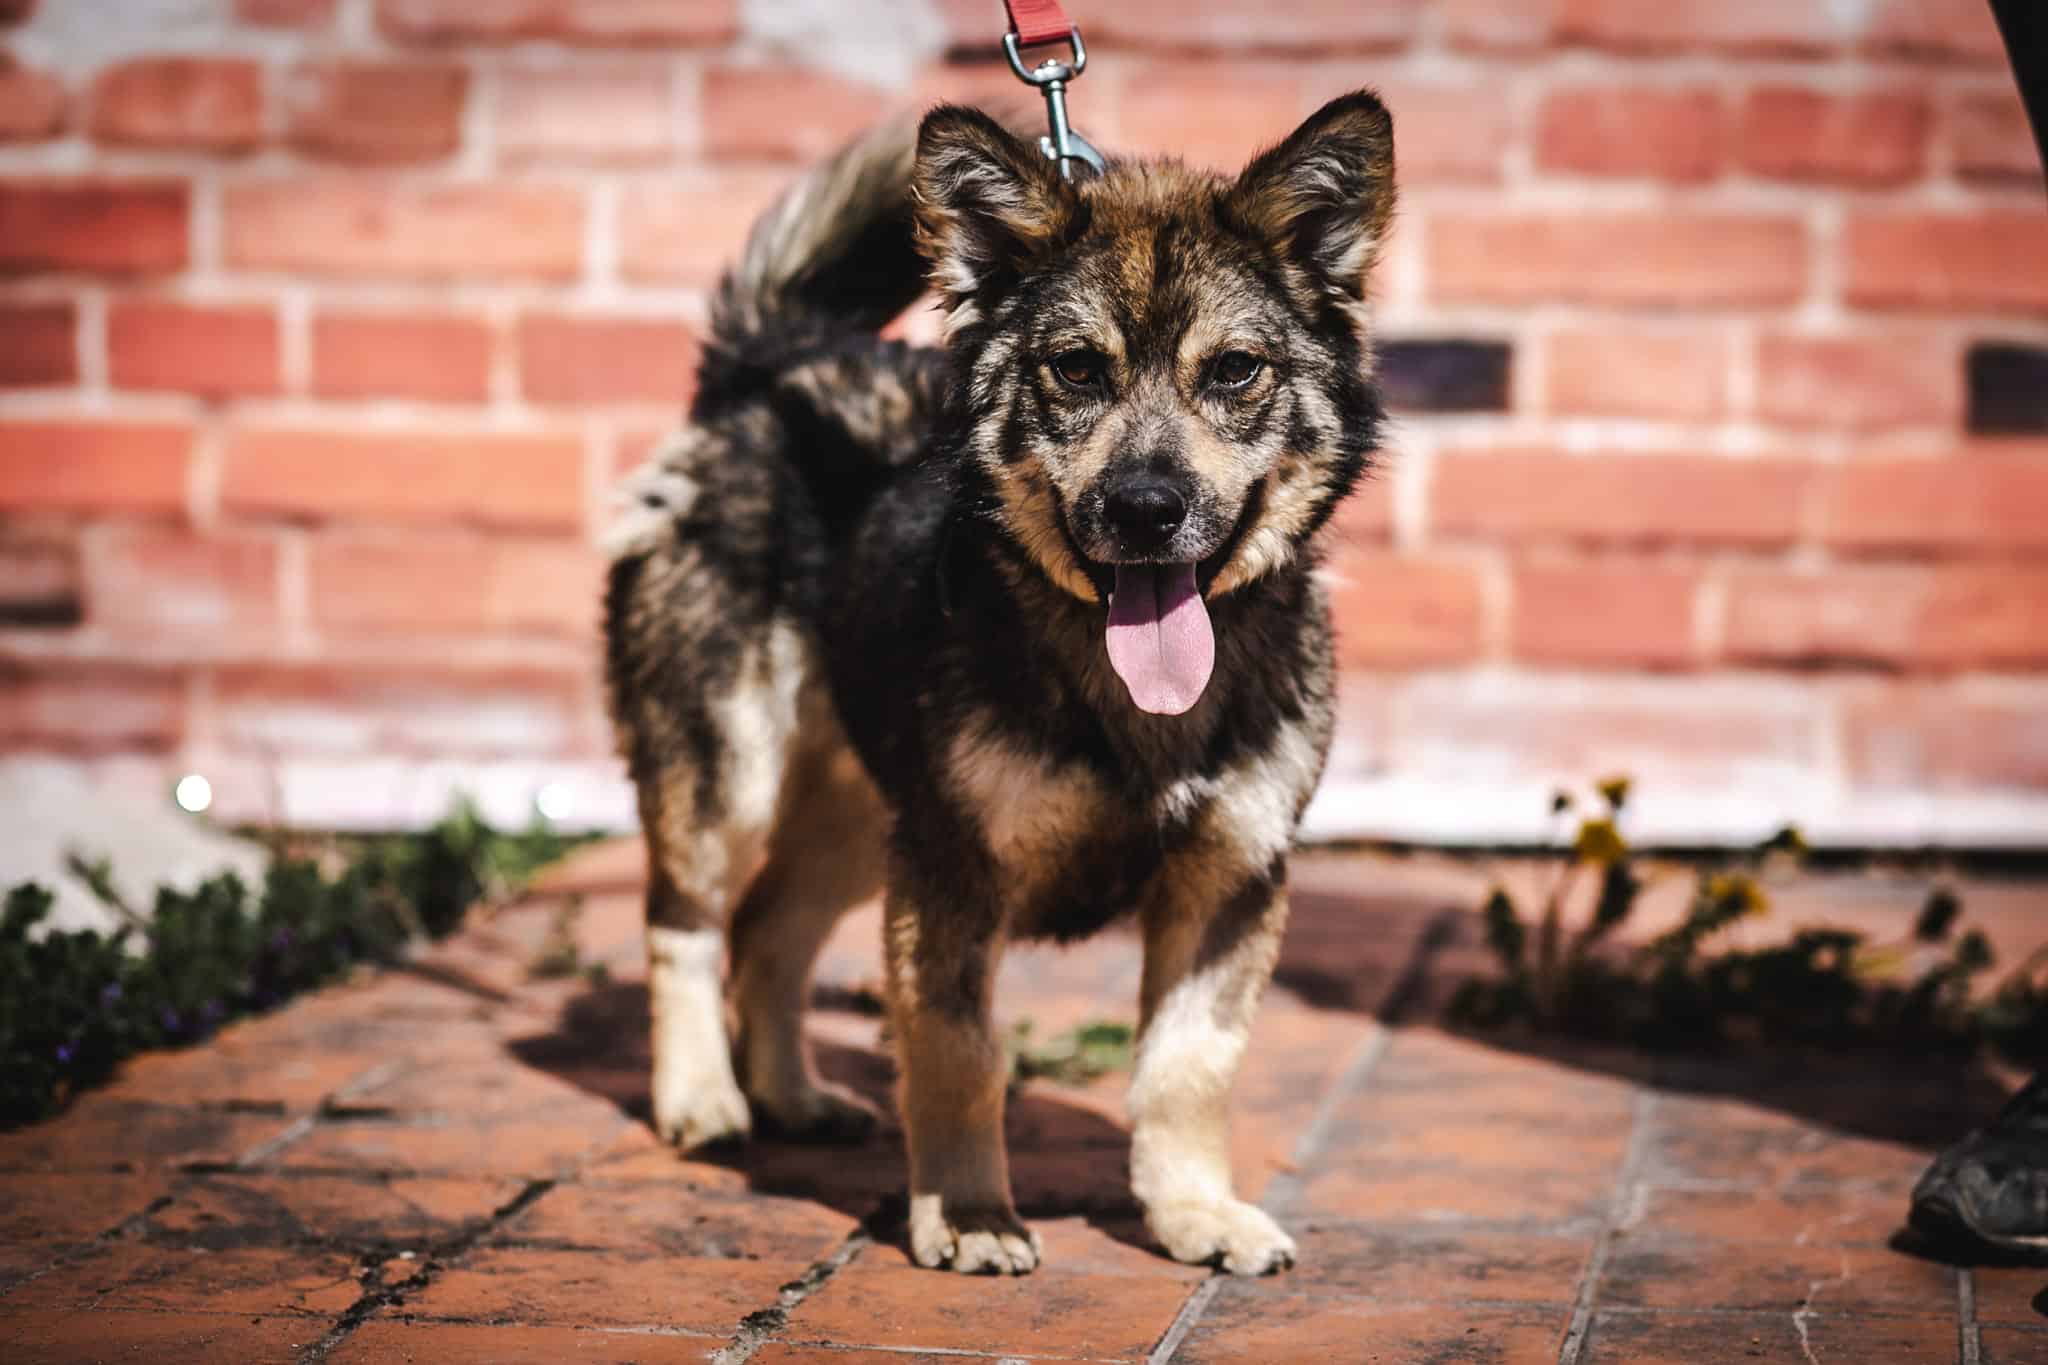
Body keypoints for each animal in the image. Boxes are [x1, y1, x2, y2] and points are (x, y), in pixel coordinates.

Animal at [603, 91, 1395, 1276]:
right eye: (1076, 368)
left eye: (1233, 371)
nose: (1145, 508)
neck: (1128, 701)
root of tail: (773, 365)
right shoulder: (951, 874)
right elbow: (958, 1053)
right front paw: (973, 1213)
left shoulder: (1231, 879)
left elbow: (1187, 1068)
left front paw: (1195, 1214)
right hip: (731, 773)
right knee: (686, 918)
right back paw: (702, 1096)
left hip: (863, 811)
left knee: (769, 930)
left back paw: (793, 1097)